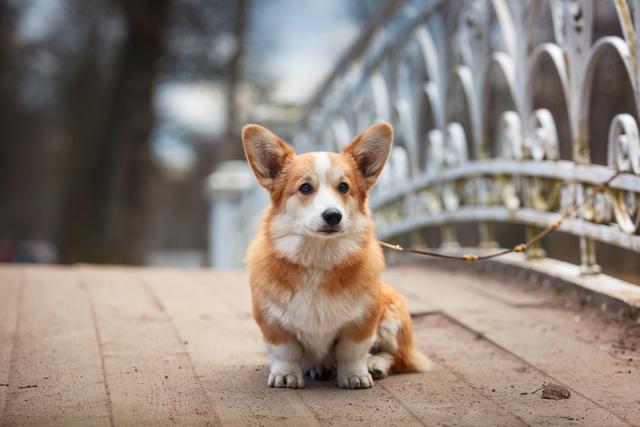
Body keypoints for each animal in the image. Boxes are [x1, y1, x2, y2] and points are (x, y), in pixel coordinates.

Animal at [241, 122, 430, 390]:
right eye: (305, 187)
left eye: (343, 187)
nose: (333, 216)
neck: (318, 259)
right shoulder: (272, 321)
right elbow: (285, 351)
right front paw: (286, 374)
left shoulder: (362, 321)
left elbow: (352, 352)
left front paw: (355, 375)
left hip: (393, 312)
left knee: (394, 356)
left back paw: (374, 364)